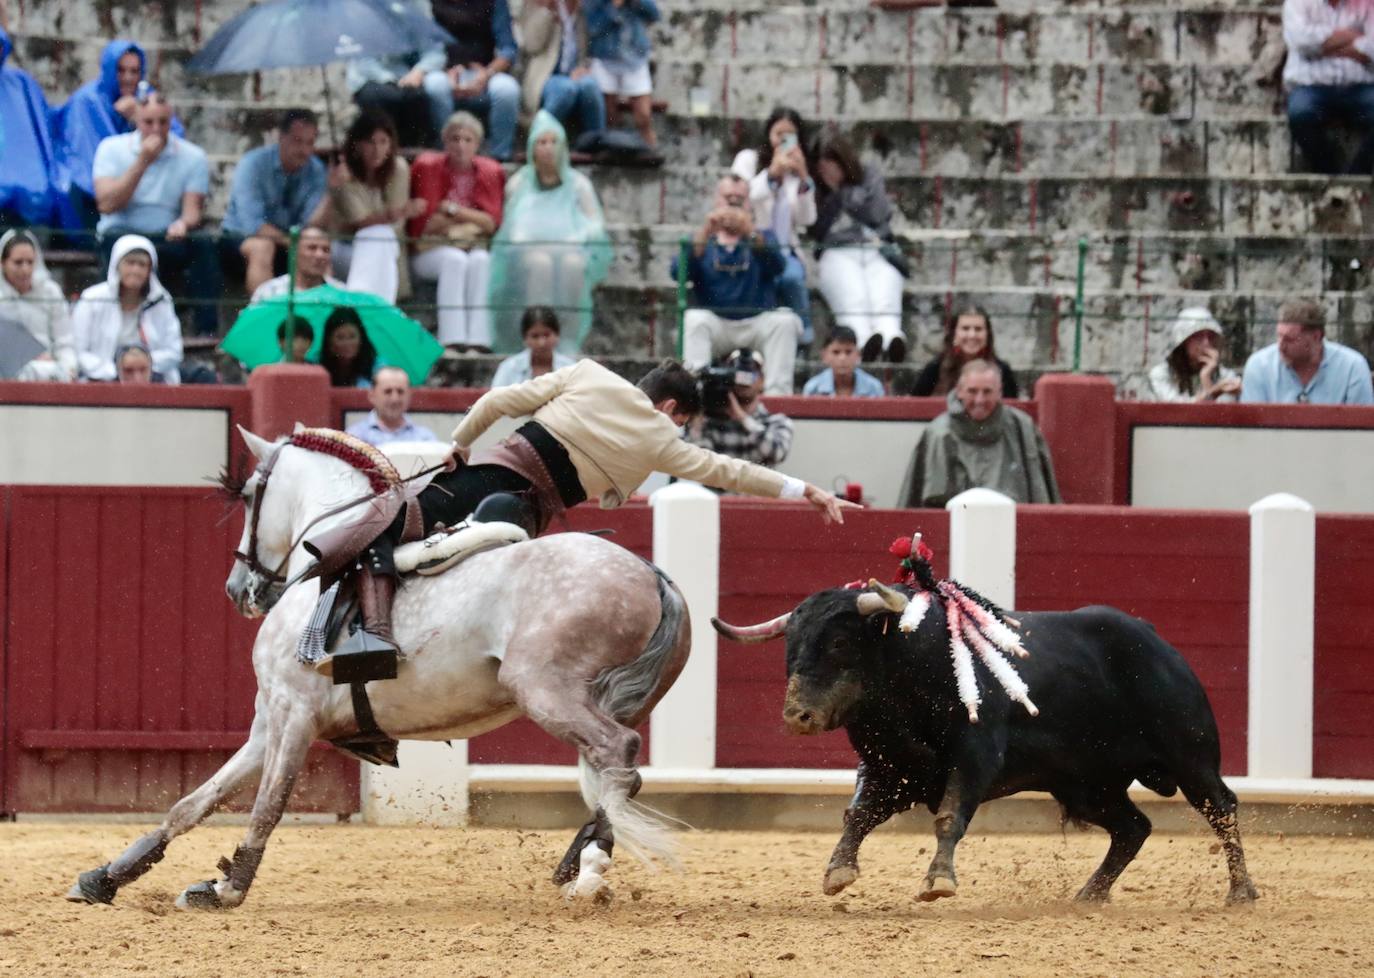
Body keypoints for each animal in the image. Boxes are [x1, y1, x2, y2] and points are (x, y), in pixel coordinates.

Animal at [64, 428, 687, 906]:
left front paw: (227, 889)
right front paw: (106, 878)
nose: (239, 589)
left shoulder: (295, 716)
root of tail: (653, 575)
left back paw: (589, 875)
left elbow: (267, 806)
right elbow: (194, 802)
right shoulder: (268, 722)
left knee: (618, 755)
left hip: (543, 689)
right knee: (619, 771)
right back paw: (579, 863)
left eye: (249, 495)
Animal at [714, 585, 1258, 906]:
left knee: (1222, 808)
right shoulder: (891, 768)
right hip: (1087, 786)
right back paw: (1090, 894)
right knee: (1133, 827)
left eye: (840, 643)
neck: (912, 668)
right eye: (790, 647)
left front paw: (938, 881)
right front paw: (839, 871)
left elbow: (948, 817)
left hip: (1191, 758)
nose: (797, 717)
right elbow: (858, 815)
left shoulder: (972, 759)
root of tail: (1159, 643)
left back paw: (1241, 893)